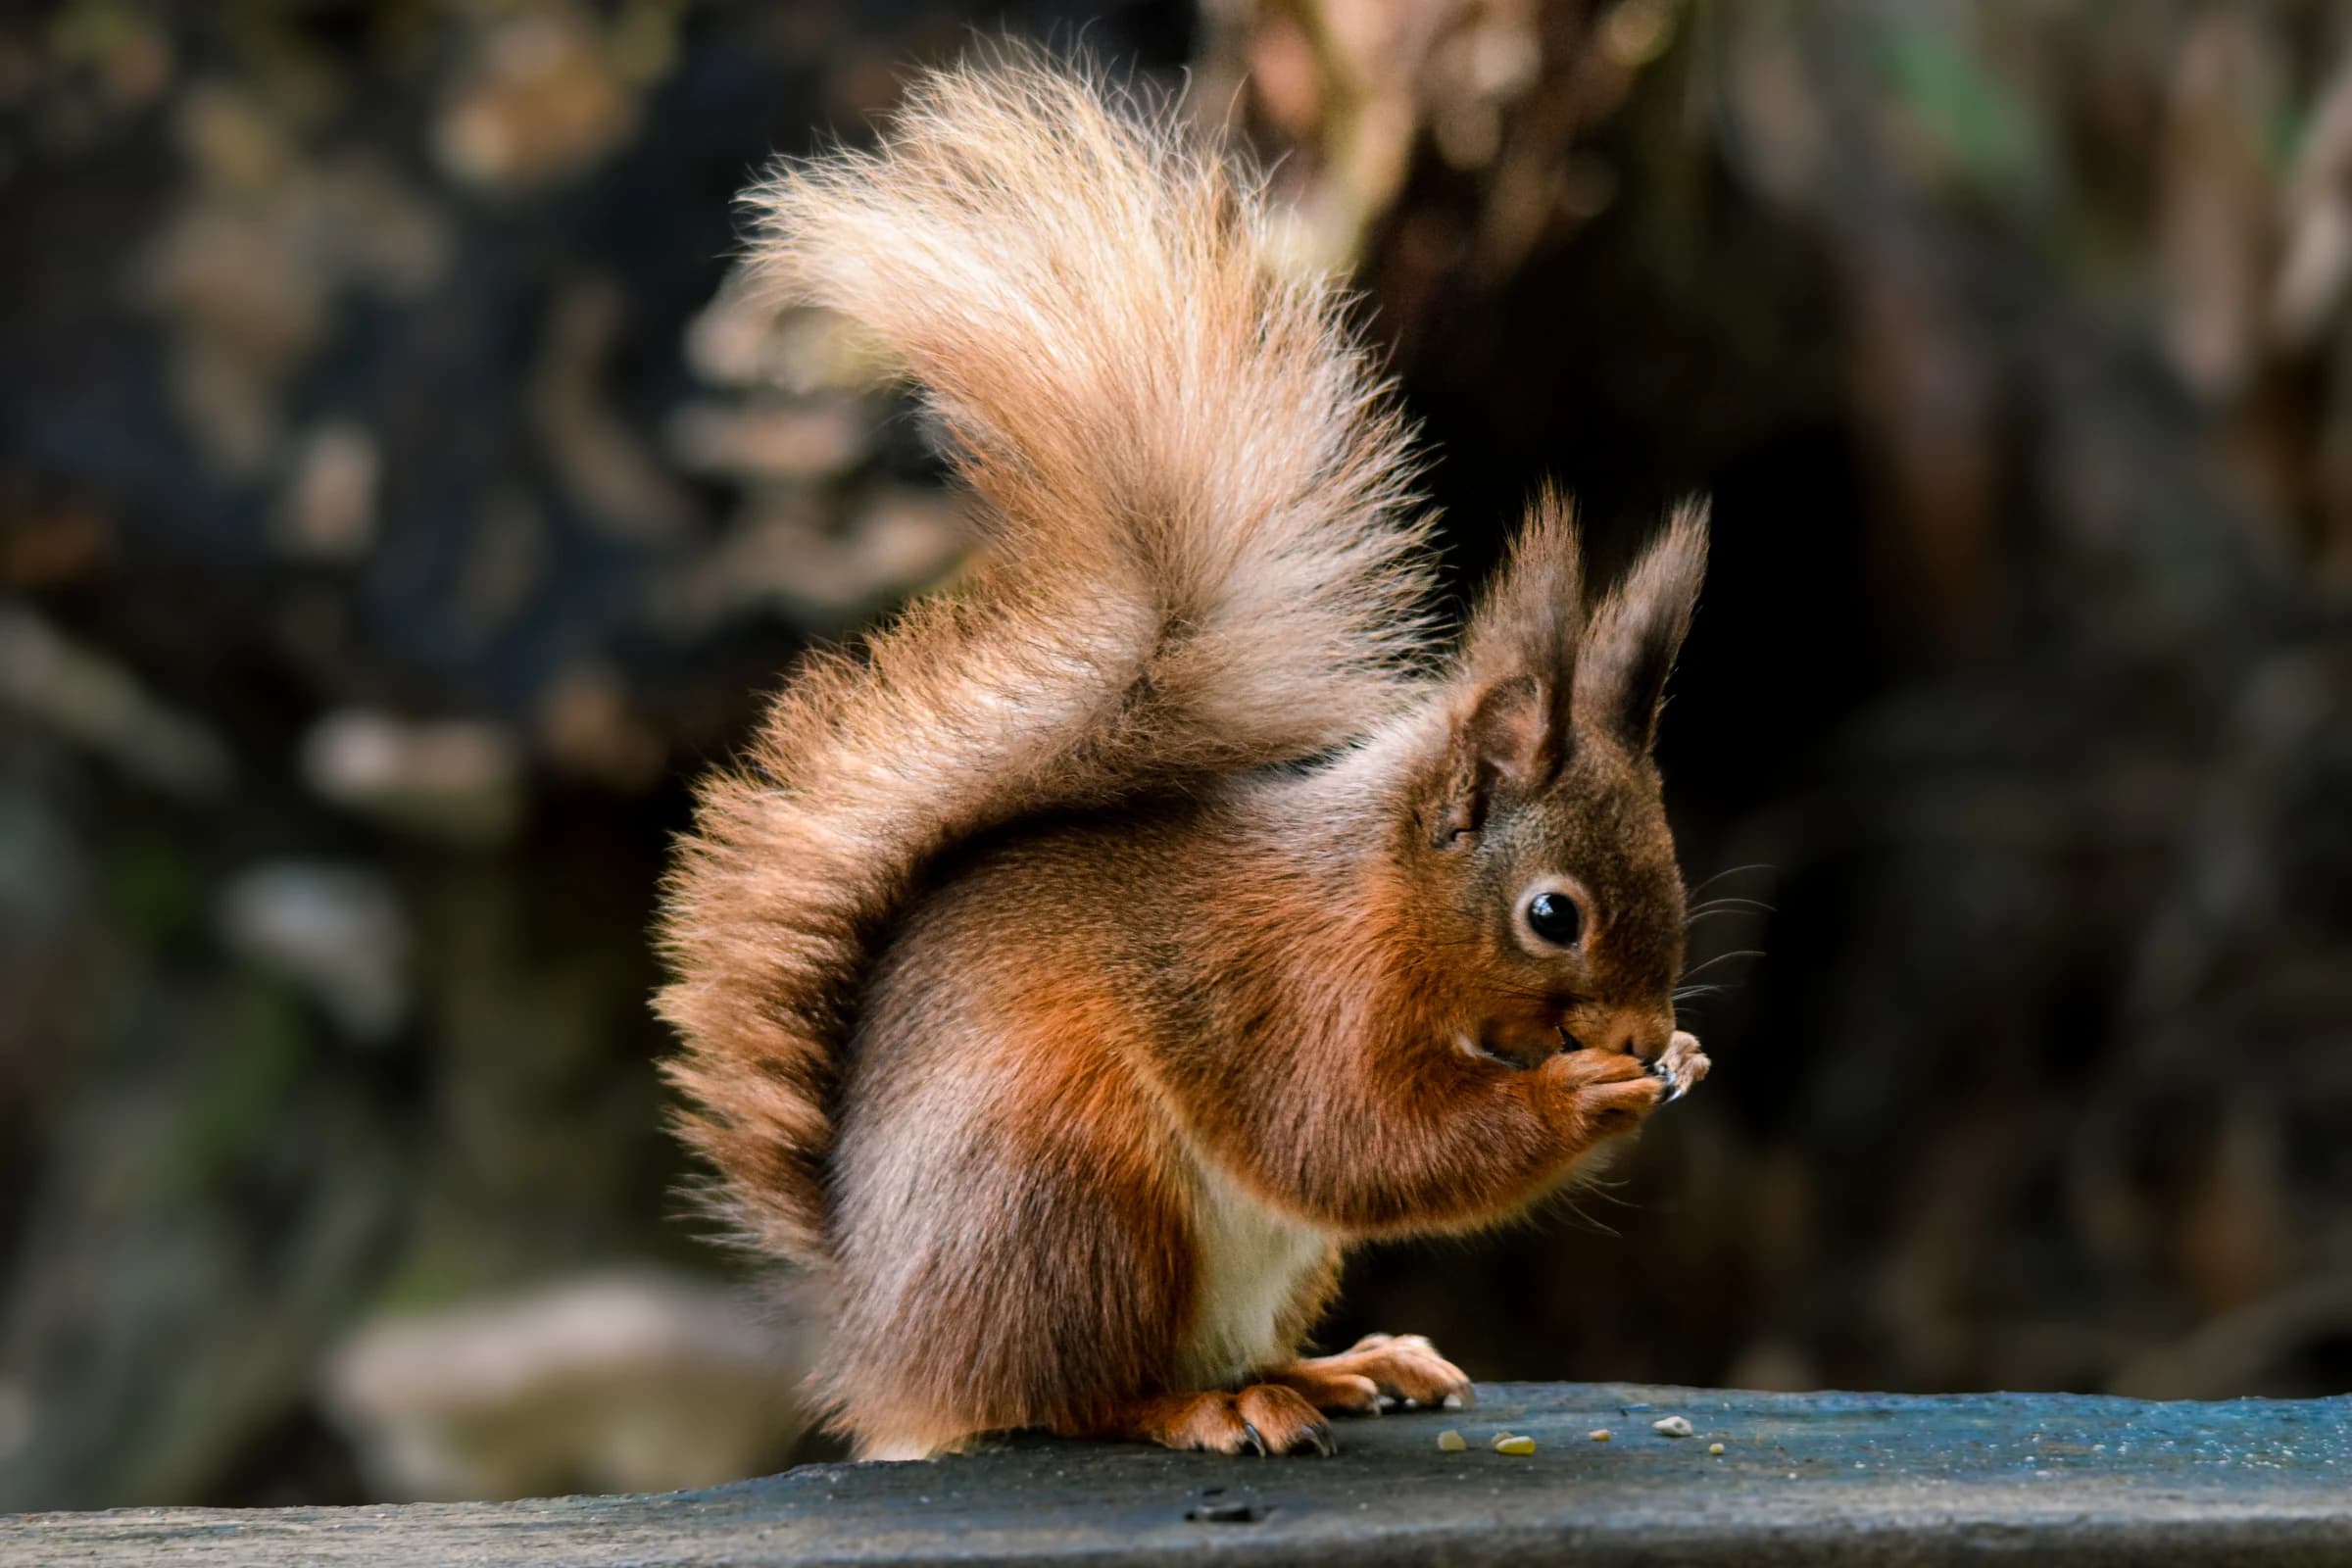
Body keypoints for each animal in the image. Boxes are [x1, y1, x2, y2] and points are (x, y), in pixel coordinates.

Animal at [657, 51, 1711, 1462]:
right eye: (1554, 915)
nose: (1645, 1032)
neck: (1382, 898)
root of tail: (894, 1348)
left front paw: (1681, 1061)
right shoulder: (1286, 997)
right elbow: (1353, 1142)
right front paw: (1582, 1099)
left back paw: (1340, 1366)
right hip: (1075, 1192)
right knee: (1079, 1396)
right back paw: (1208, 1404)